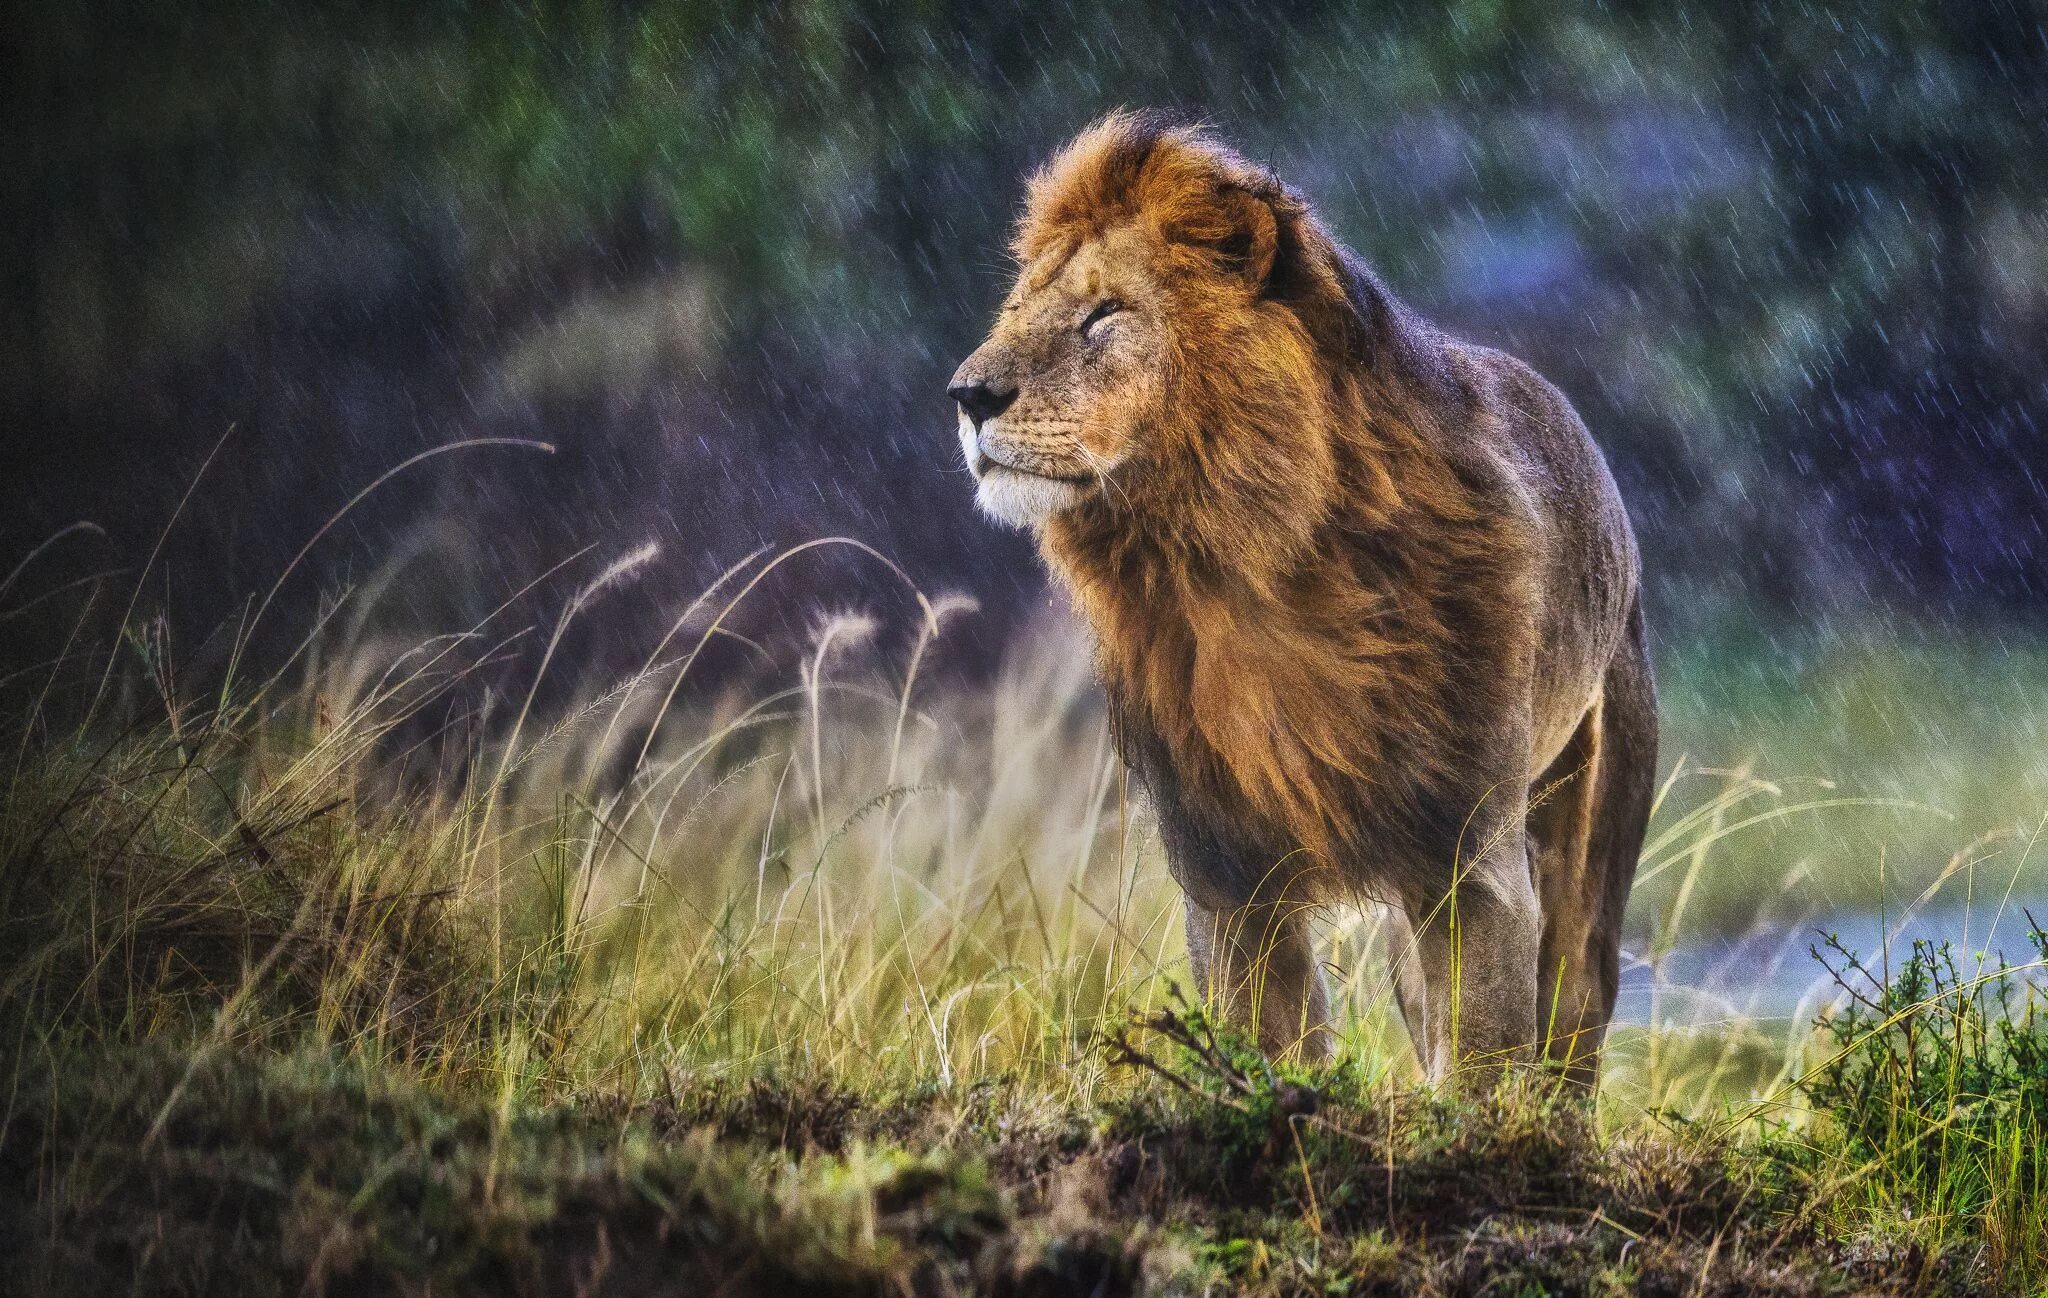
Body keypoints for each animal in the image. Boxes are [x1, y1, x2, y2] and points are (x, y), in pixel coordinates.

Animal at [950, 111, 1654, 1080]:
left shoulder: (1468, 858)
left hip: (1587, 832)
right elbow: (1268, 1044)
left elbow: (1484, 1058)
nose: (967, 396)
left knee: (1571, 1016)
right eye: (1019, 310)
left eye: (1106, 314)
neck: (1239, 563)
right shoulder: (1223, 867)